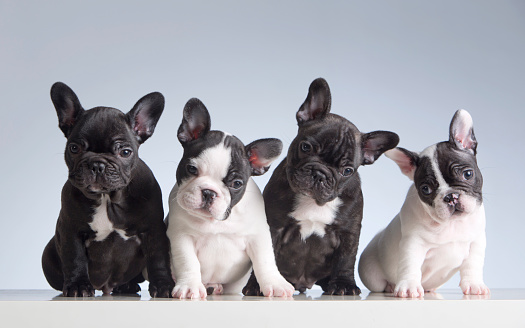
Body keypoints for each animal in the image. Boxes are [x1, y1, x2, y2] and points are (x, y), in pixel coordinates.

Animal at [41, 82, 172, 298]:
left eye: (125, 152)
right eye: (74, 148)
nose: (97, 164)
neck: (106, 198)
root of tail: (105, 287)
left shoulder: (153, 229)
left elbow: (159, 259)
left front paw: (164, 286)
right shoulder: (70, 230)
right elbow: (75, 258)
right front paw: (78, 286)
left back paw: (125, 287)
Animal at [166, 98, 292, 300]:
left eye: (237, 183)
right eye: (191, 169)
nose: (209, 192)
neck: (216, 222)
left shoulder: (258, 236)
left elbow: (265, 261)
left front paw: (275, 283)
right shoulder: (181, 236)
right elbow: (188, 262)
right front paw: (190, 286)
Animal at [242, 78, 398, 296]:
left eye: (347, 170)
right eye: (305, 147)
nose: (320, 173)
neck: (313, 202)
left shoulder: (348, 232)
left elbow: (346, 259)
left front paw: (344, 285)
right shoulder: (273, 226)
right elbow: (265, 258)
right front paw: (258, 285)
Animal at [358, 109, 490, 298]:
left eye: (468, 174)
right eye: (426, 189)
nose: (451, 196)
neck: (451, 224)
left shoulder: (476, 242)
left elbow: (473, 265)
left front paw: (474, 284)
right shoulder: (413, 244)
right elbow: (410, 265)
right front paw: (409, 287)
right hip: (371, 275)